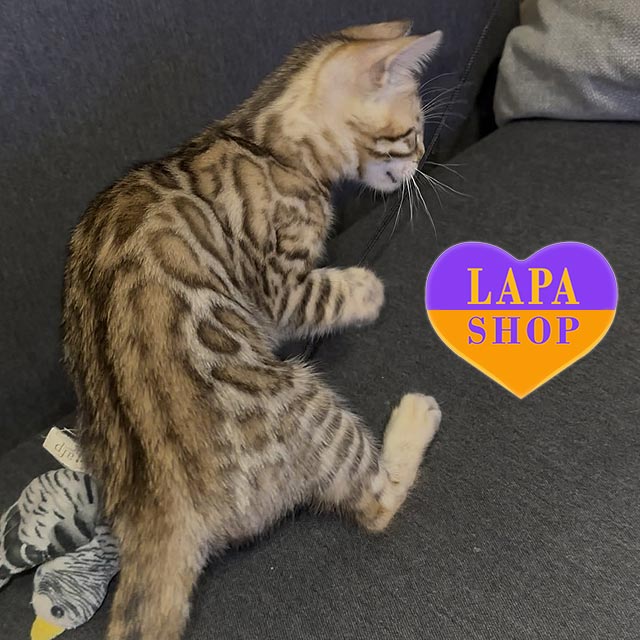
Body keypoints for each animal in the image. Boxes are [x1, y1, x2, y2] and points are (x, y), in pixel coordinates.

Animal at [62, 21, 443, 640]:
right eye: (410, 133)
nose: (424, 157)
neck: (264, 140)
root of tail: (153, 513)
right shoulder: (282, 284)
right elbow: (324, 296)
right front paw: (366, 287)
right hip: (303, 398)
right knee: (375, 505)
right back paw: (412, 419)